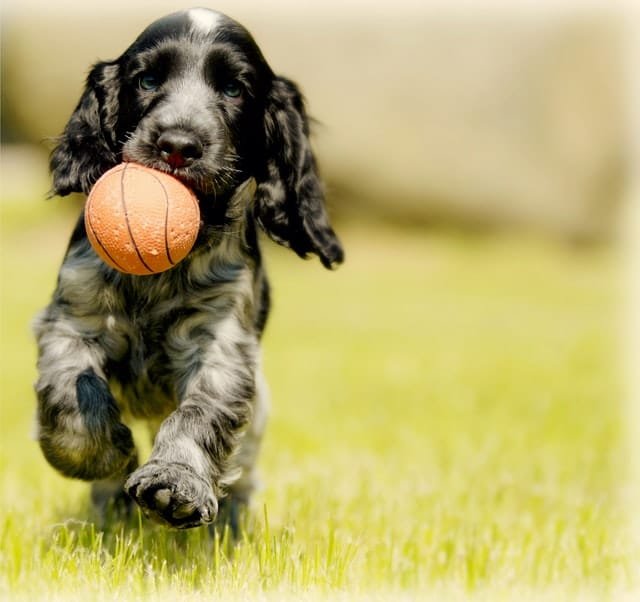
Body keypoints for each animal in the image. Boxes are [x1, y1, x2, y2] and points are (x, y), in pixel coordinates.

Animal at [33, 7, 344, 528]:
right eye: (147, 80)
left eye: (234, 89)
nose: (178, 144)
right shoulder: (74, 315)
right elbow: (70, 387)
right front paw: (100, 455)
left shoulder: (220, 341)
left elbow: (200, 412)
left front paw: (175, 484)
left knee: (243, 465)